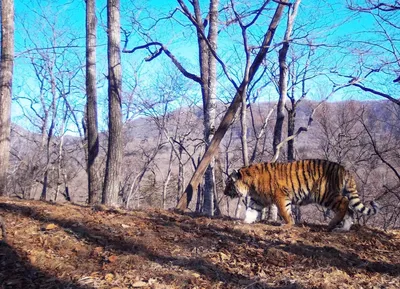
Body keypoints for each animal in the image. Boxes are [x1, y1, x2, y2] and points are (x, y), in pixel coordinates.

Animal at [223, 159, 380, 231]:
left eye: (229, 183)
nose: (224, 192)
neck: (250, 185)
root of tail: (344, 169)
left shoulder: (281, 196)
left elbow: (285, 212)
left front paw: (287, 224)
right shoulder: (258, 200)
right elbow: (251, 211)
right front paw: (243, 222)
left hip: (325, 194)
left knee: (344, 203)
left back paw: (331, 225)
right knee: (350, 210)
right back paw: (342, 229)